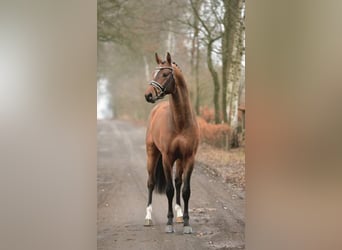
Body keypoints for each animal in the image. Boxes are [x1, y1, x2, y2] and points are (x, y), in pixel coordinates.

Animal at [143, 51, 199, 233]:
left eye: (165, 74)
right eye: (154, 73)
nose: (148, 95)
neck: (180, 122)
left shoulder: (189, 158)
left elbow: (185, 190)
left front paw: (187, 223)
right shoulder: (167, 158)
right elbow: (169, 190)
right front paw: (168, 223)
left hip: (180, 160)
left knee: (178, 182)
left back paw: (180, 215)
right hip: (152, 154)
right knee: (151, 183)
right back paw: (148, 217)